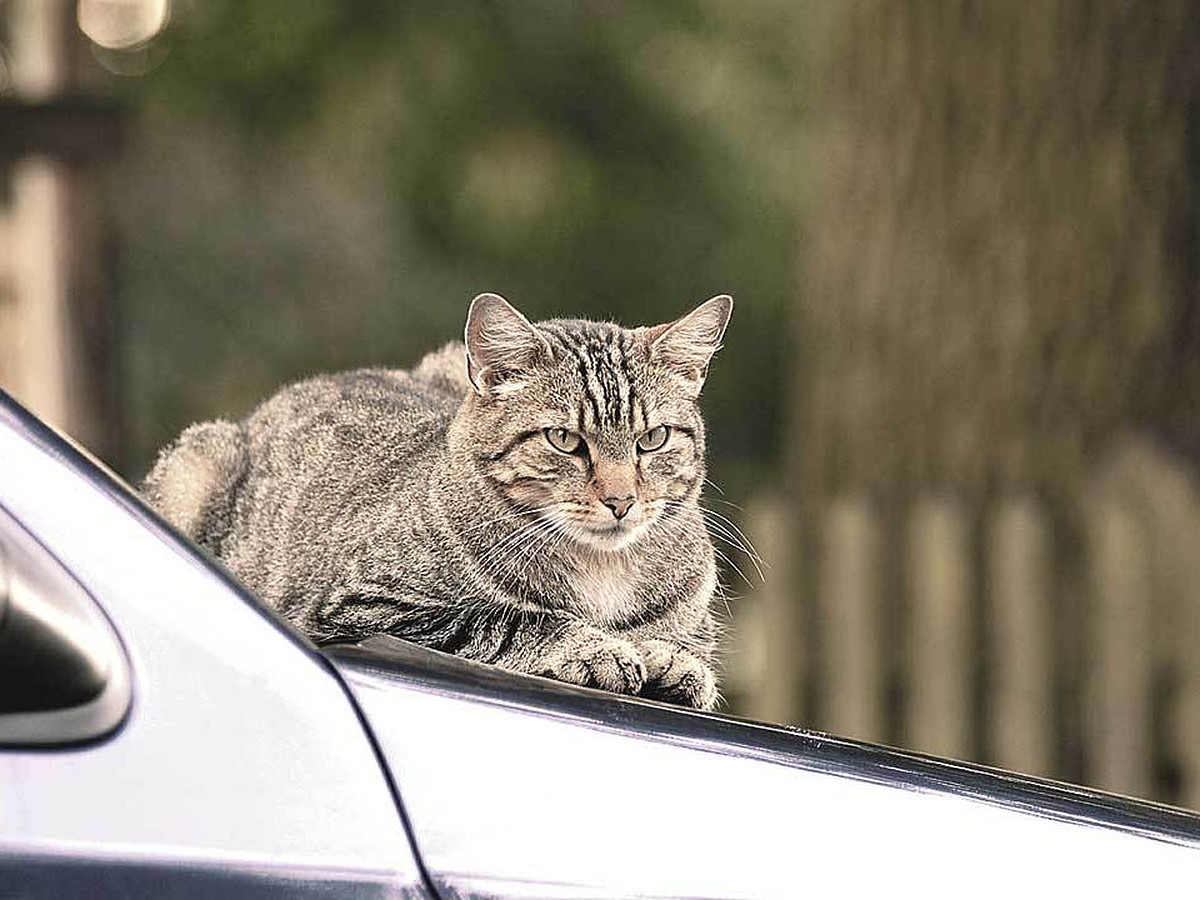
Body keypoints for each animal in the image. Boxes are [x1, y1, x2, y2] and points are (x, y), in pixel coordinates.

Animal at [146, 296, 734, 710]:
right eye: (564, 440)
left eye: (653, 438)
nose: (621, 500)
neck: (603, 570)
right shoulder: (361, 607)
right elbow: (507, 618)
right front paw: (596, 647)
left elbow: (685, 649)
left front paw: (666, 657)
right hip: (195, 463)